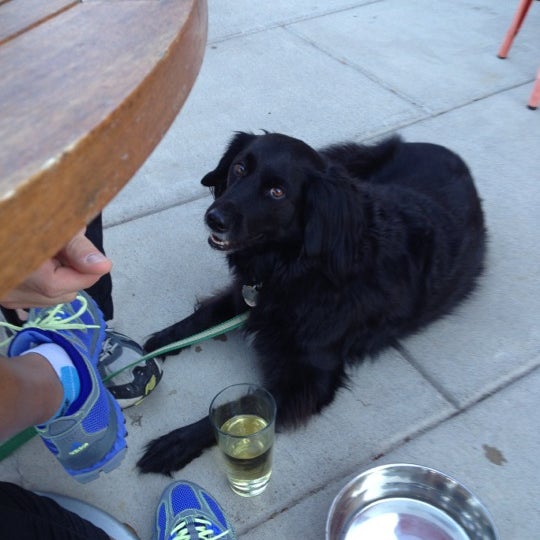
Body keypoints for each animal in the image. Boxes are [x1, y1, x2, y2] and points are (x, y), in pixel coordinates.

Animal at [137, 133, 488, 474]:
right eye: (239, 168)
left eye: (277, 191)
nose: (214, 218)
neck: (297, 266)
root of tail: (450, 153)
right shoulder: (246, 294)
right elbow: (202, 316)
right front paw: (158, 343)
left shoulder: (308, 381)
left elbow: (240, 406)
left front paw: (176, 442)